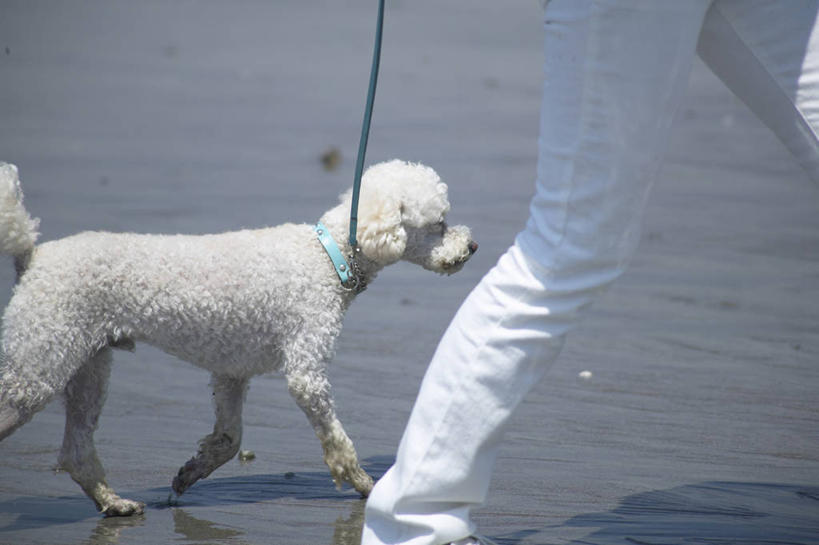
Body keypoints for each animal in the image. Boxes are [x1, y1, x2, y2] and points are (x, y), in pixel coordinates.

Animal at [0, 159, 478, 516]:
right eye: (439, 223)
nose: (472, 246)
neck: (328, 256)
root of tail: (33, 255)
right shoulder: (306, 365)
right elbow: (336, 439)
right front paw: (362, 483)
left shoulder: (231, 372)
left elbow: (230, 440)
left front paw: (189, 473)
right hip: (38, 365)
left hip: (87, 364)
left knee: (77, 450)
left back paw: (114, 503)